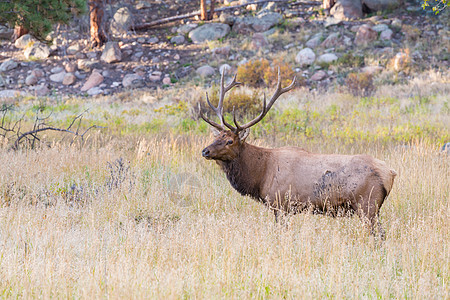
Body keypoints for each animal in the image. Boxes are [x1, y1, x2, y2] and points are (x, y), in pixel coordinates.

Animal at [199, 69, 396, 238]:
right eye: (216, 136)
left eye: (229, 141)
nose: (205, 151)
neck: (260, 175)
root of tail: (390, 172)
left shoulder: (281, 204)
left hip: (367, 205)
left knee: (380, 234)